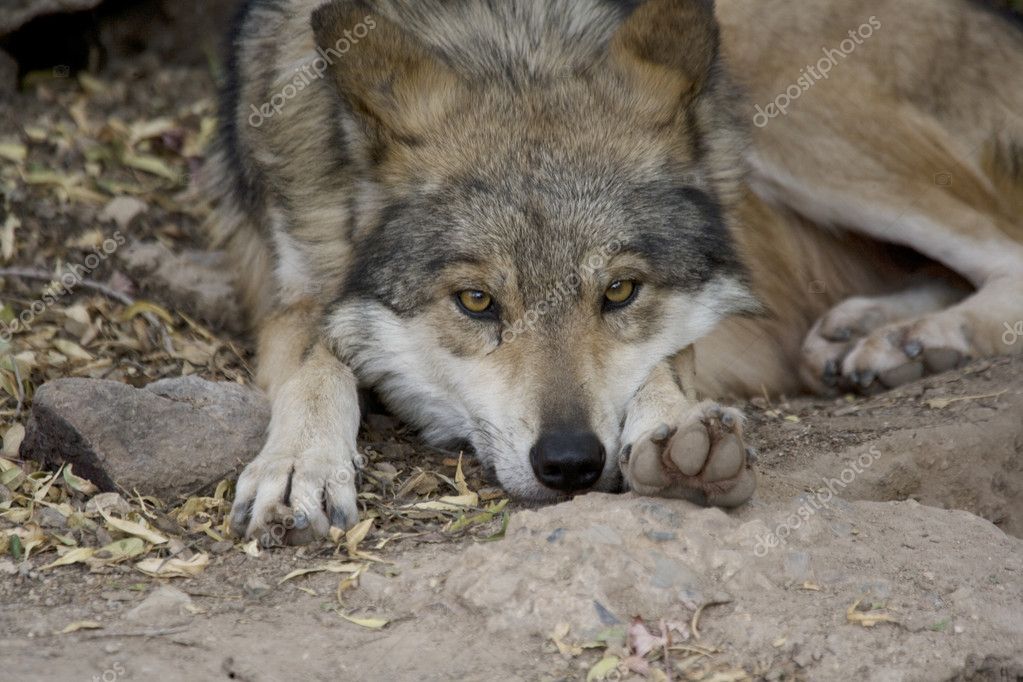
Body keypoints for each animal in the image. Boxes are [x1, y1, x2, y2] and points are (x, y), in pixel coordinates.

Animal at [205, 1, 1023, 543]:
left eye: (620, 291)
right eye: (476, 301)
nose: (570, 463)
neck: (508, 37)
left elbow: (666, 360)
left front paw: (678, 434)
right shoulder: (292, 291)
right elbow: (316, 364)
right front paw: (298, 465)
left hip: (792, 123)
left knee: (1005, 248)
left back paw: (918, 338)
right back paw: (877, 333)